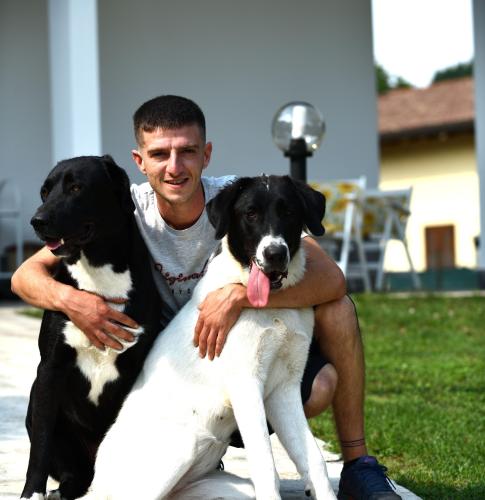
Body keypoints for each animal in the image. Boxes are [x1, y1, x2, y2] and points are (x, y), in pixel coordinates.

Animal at [21, 156, 169, 500]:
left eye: (76, 188)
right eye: (45, 191)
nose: (37, 220)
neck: (98, 267)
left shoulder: (134, 369)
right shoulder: (50, 369)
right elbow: (40, 448)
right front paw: (31, 493)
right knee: (72, 470)